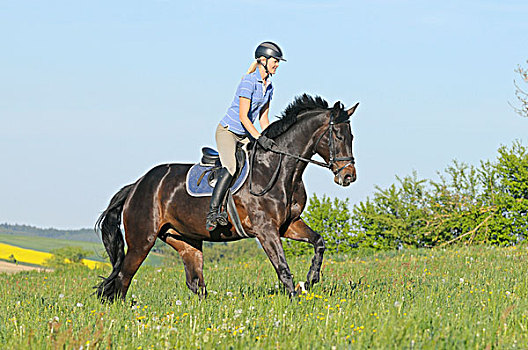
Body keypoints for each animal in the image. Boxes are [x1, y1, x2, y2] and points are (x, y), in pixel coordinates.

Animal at [95, 93, 358, 300]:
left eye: (351, 137)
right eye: (337, 135)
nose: (348, 176)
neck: (278, 169)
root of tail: (137, 185)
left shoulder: (288, 224)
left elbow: (319, 242)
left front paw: (311, 279)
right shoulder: (266, 229)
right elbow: (282, 267)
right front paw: (295, 301)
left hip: (184, 240)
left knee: (195, 282)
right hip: (143, 240)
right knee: (123, 277)